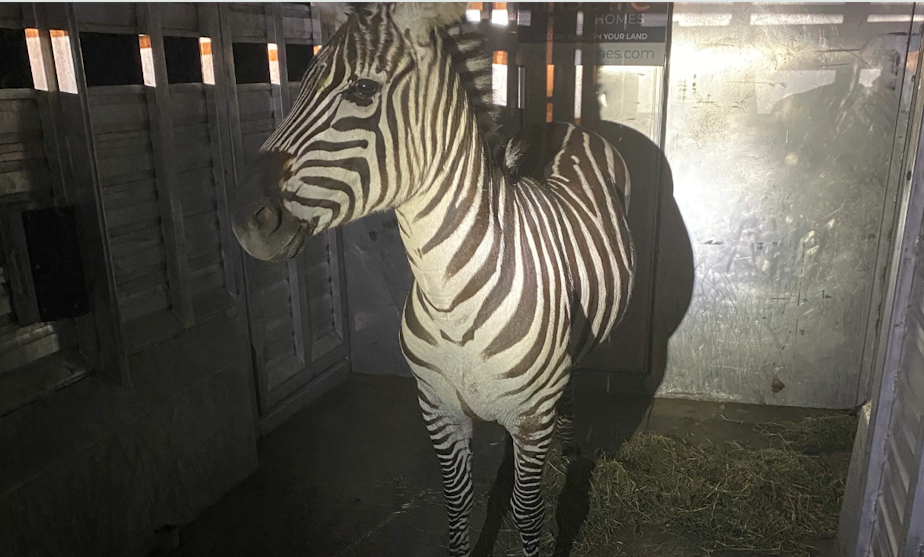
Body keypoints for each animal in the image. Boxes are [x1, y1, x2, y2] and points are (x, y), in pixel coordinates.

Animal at [230, 3, 636, 552]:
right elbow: (458, 507)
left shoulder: (531, 419)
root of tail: (560, 124)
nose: (245, 219)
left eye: (363, 90)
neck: (452, 299)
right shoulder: (438, 409)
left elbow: (527, 515)